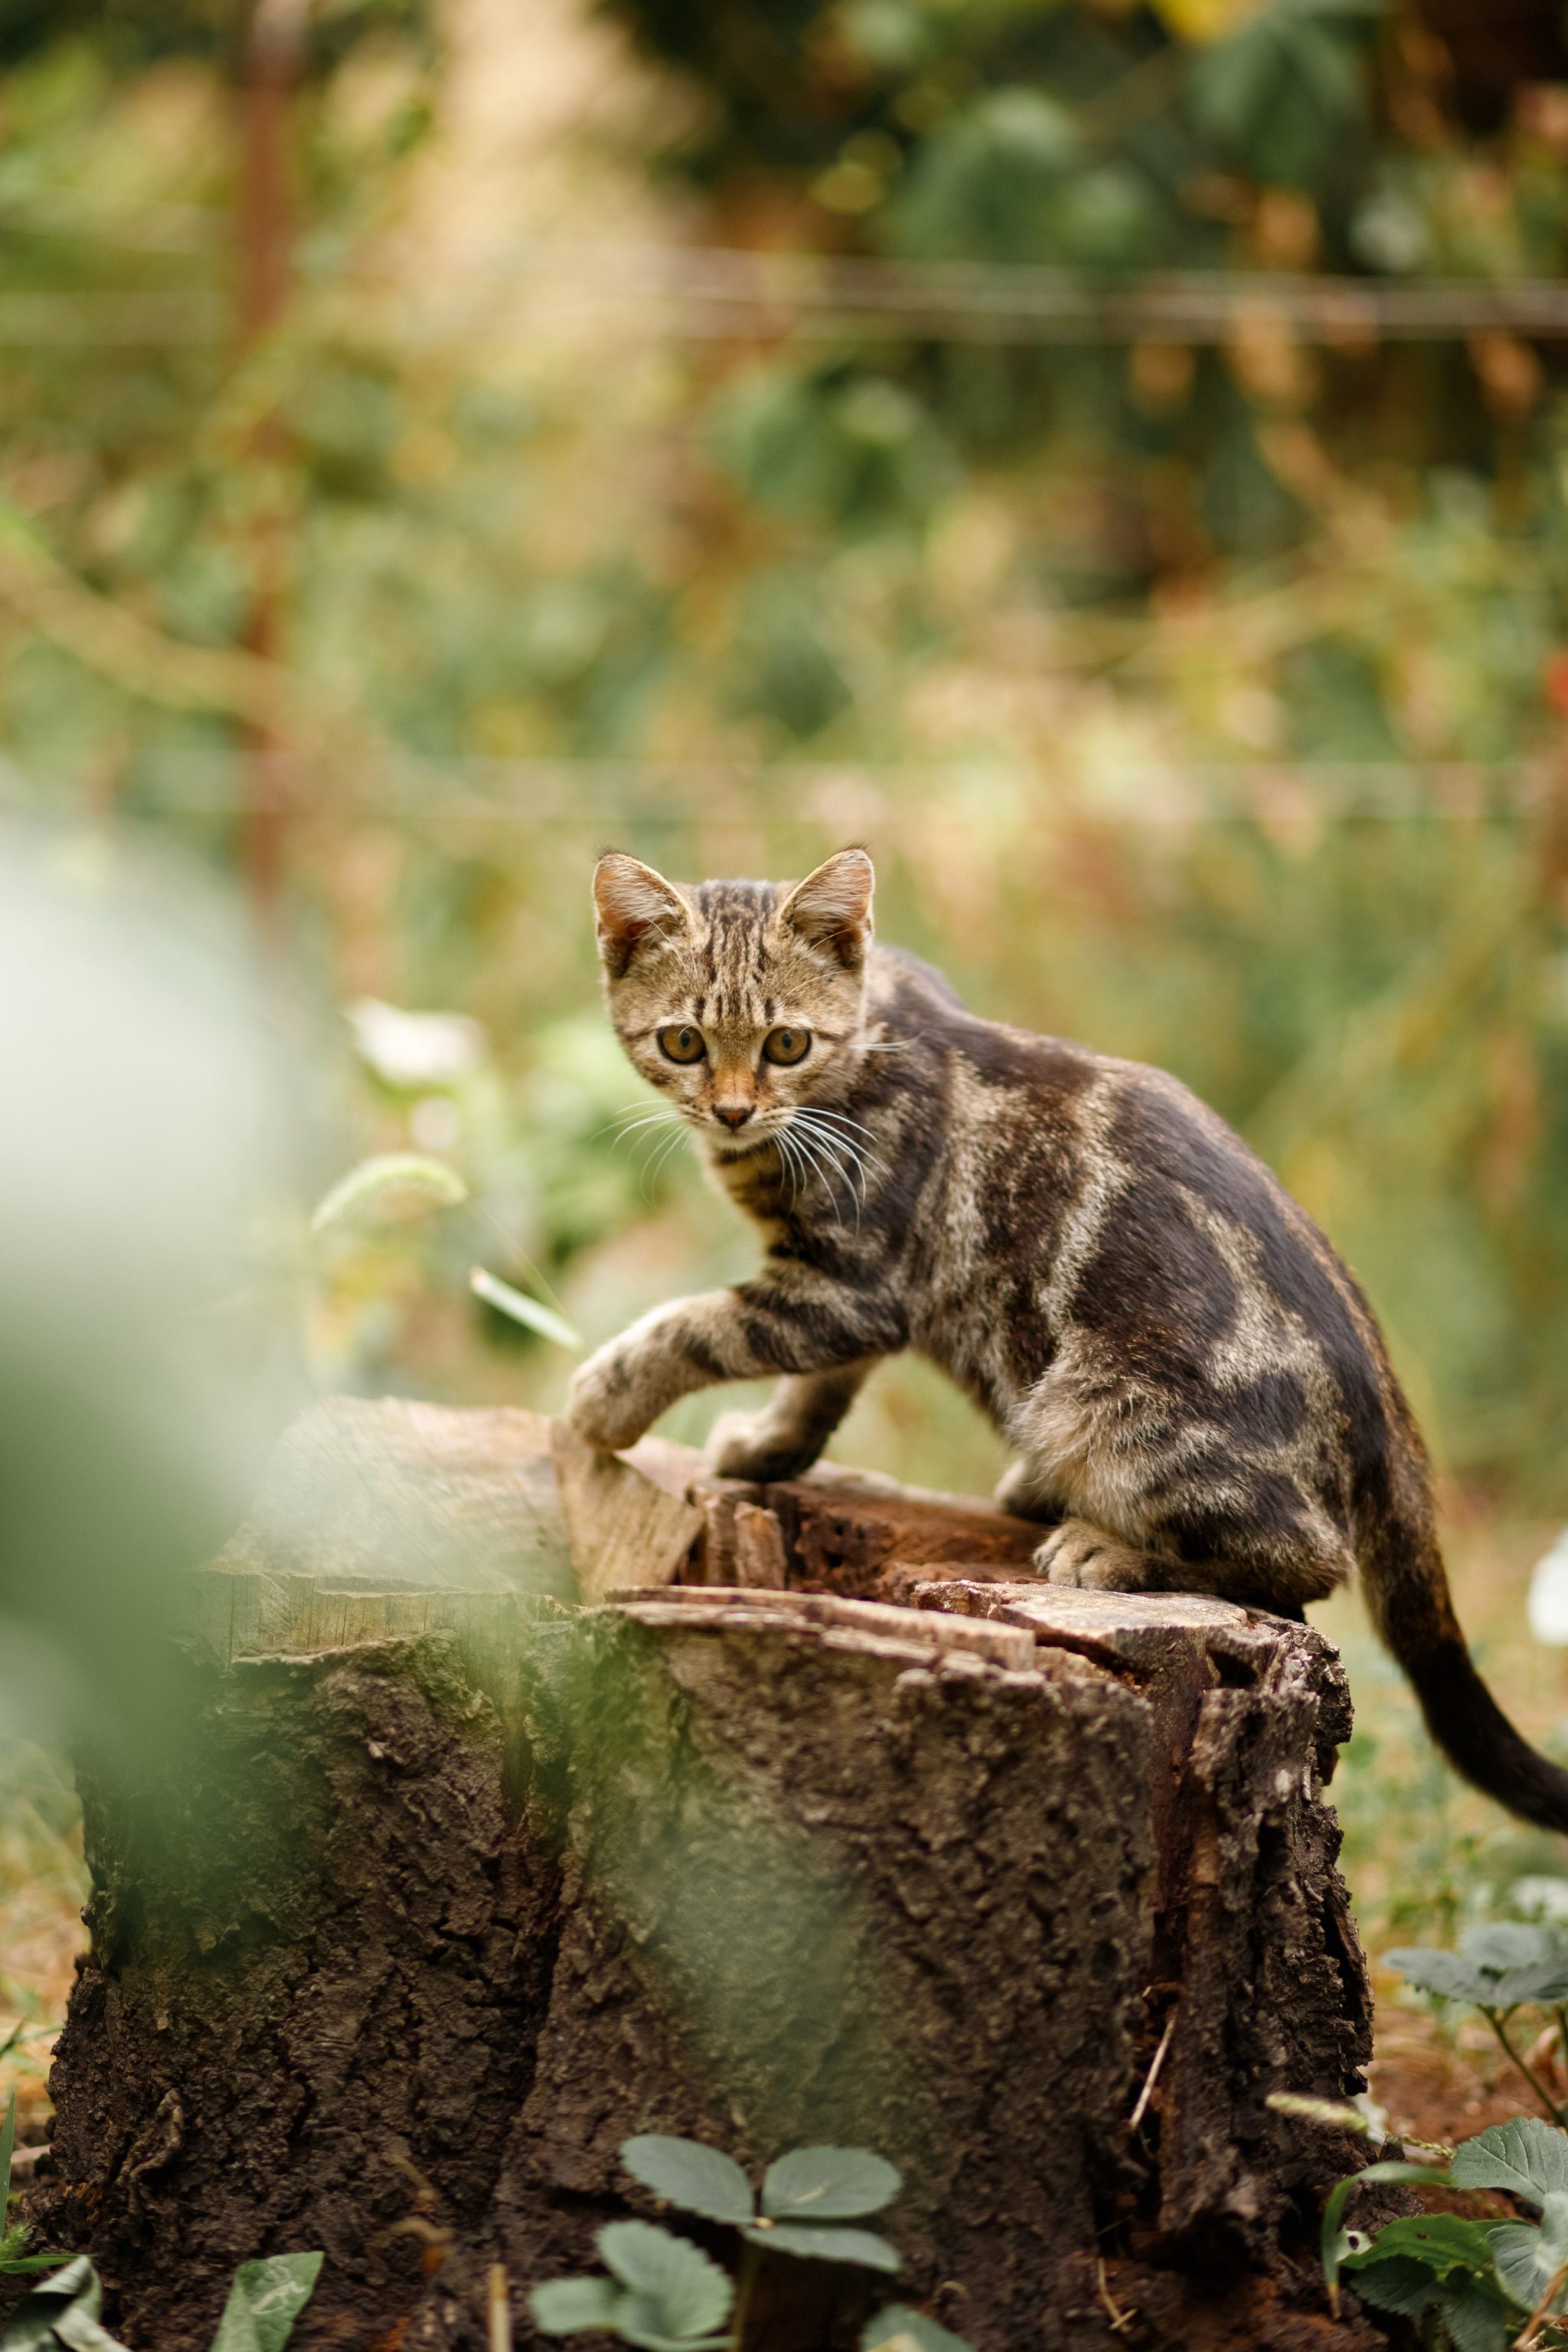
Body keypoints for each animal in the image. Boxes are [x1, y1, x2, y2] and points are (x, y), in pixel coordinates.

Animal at [571, 846, 1568, 1834]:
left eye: (786, 1044)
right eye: (683, 1043)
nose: (733, 1111)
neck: (868, 1037)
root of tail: (1383, 1413)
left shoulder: (848, 1284)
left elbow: (697, 1326)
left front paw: (605, 1399)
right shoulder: (851, 1293)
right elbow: (819, 1385)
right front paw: (770, 1444)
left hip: (1100, 1404)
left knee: (1305, 1557)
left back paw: (1107, 1545)